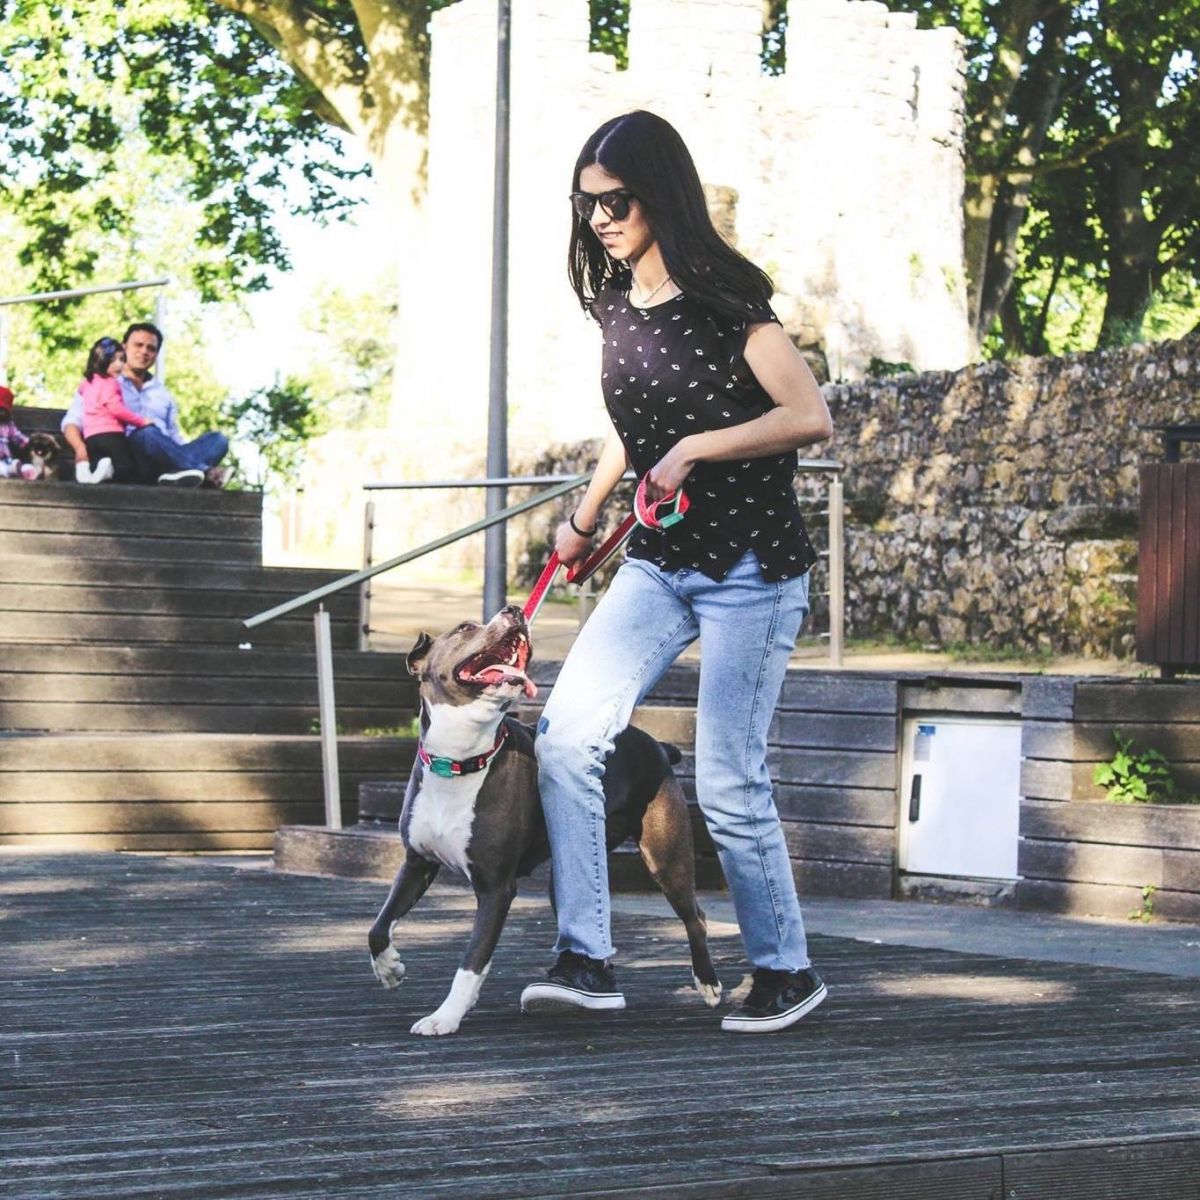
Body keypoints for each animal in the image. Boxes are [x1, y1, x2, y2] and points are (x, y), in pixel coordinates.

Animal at [364, 604, 720, 1036]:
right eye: (465, 627)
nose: (514, 609)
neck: (462, 760)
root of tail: (659, 746)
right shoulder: (417, 863)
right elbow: (378, 926)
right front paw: (389, 969)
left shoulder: (495, 889)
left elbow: (471, 962)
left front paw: (444, 1017)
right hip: (570, 866)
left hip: (666, 856)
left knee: (696, 917)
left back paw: (708, 983)